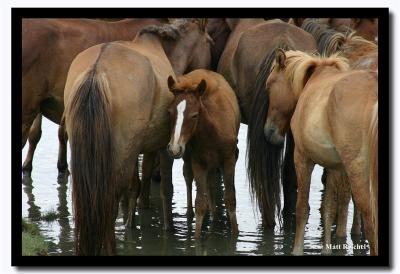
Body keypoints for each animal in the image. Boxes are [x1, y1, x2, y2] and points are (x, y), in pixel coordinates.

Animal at [63, 19, 212, 255]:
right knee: (110, 202)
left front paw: (130, 224)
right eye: (209, 41)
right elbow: (165, 188)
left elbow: (135, 188)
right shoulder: (163, 147)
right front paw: (168, 227)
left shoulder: (135, 151)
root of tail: (96, 71)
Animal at [166, 69, 241, 238]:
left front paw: (235, 233)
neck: (212, 131)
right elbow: (200, 203)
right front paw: (196, 238)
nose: (174, 148)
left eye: (194, 115)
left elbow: (230, 199)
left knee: (211, 184)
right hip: (191, 158)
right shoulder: (198, 161)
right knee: (189, 176)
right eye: (170, 112)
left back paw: (214, 216)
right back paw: (191, 214)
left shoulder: (229, 160)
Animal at [262, 48, 378, 255]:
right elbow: (329, 209)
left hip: (357, 171)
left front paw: (297, 249)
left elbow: (302, 208)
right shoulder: (333, 166)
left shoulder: (302, 158)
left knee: (370, 221)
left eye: (269, 86)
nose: (269, 132)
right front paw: (326, 249)